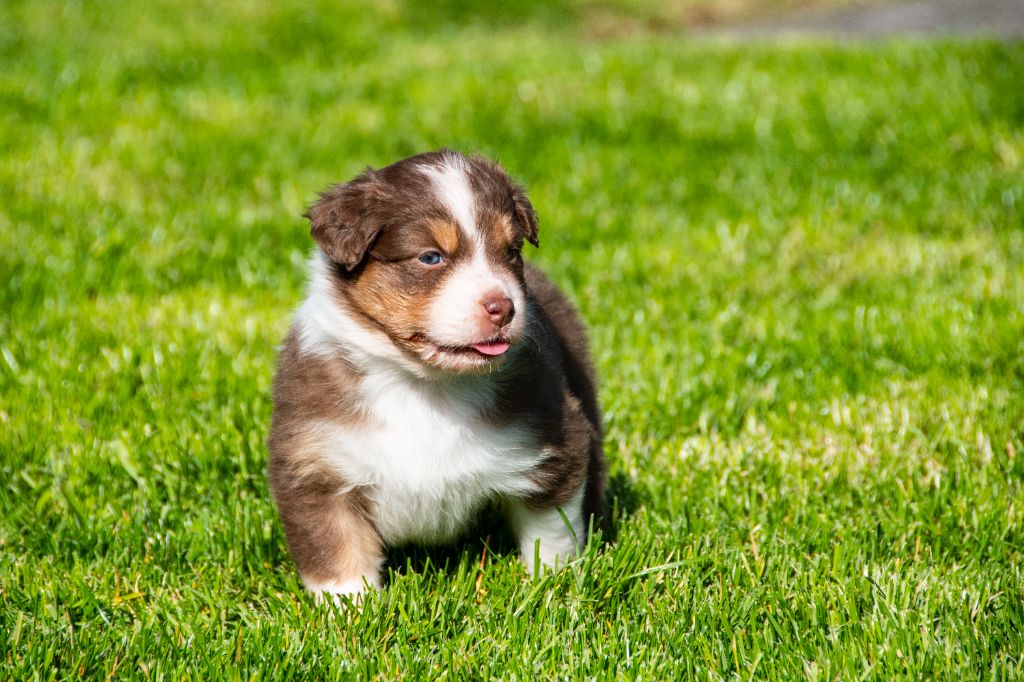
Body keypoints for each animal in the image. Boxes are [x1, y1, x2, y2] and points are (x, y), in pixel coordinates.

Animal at [268, 150, 604, 602]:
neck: (427, 387)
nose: (503, 307)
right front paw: (353, 611)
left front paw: (551, 588)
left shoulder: (553, 441)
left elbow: (551, 533)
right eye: (430, 257)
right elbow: (337, 556)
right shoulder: (315, 467)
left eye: (511, 251)